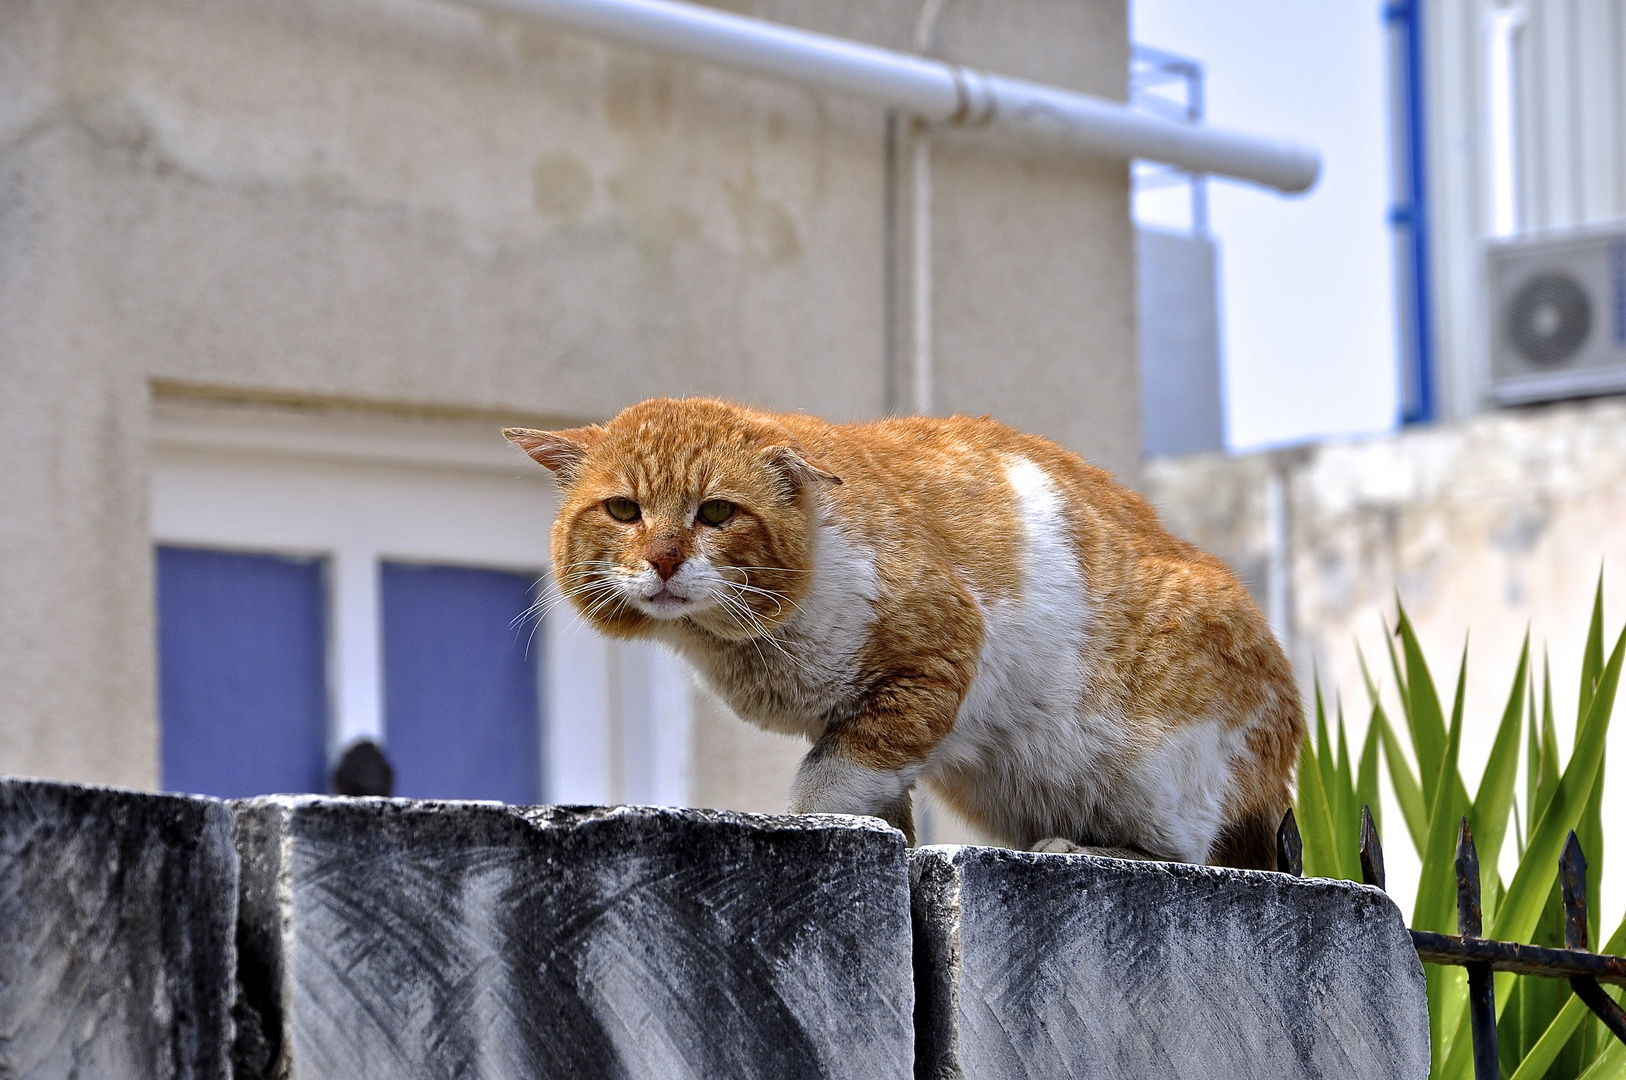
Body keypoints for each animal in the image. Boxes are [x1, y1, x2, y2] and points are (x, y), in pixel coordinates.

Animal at [500, 396, 1300, 871]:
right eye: (624, 511)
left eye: (717, 514)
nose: (665, 559)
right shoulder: (862, 725)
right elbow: (882, 808)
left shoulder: (927, 665)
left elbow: (825, 789)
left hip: (1161, 771)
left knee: (1185, 854)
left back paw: (1077, 846)